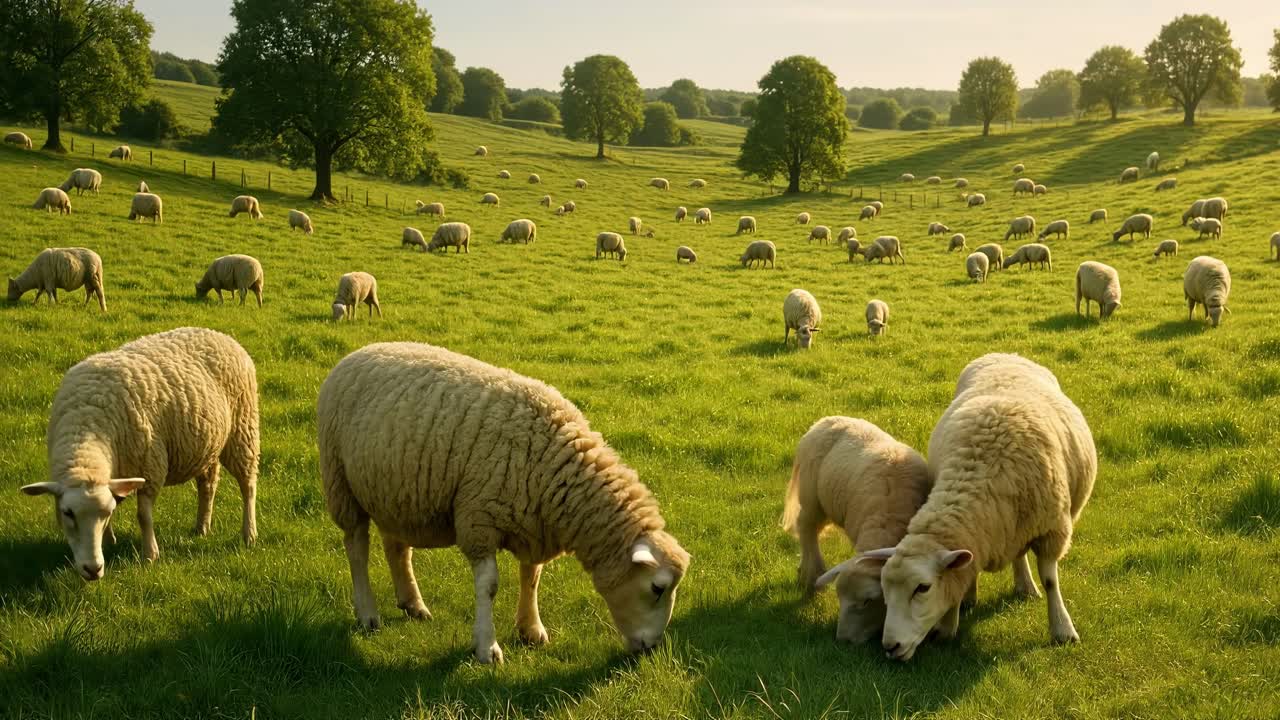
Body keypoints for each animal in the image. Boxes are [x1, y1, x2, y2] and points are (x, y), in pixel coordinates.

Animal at [22, 327, 259, 577]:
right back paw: (201, 527)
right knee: (208, 484)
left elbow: (143, 516)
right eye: (67, 512)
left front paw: (150, 555)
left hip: (243, 429)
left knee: (248, 485)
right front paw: (109, 542)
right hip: (207, 443)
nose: (93, 569)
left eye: (104, 513)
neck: (87, 425)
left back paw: (249, 534)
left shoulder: (150, 466)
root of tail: (219, 334)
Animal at [317, 342, 690, 663]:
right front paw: (487, 646)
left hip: (395, 493)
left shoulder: (533, 521)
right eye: (657, 588)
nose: (652, 648)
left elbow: (532, 576)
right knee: (356, 547)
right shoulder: (478, 519)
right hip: (341, 482)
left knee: (396, 548)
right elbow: (489, 586)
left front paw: (531, 629)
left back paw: (413, 604)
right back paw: (367, 613)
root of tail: (359, 351)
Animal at [785, 417, 929, 643]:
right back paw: (812, 574)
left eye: (867, 601)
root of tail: (826, 419)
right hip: (811, 498)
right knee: (806, 528)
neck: (887, 522)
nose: (842, 640)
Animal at [863, 353, 1096, 660]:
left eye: (923, 588)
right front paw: (953, 618)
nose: (891, 647)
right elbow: (964, 573)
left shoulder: (1052, 530)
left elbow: (1050, 581)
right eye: (885, 589)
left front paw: (1062, 629)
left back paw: (1027, 588)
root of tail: (1004, 354)